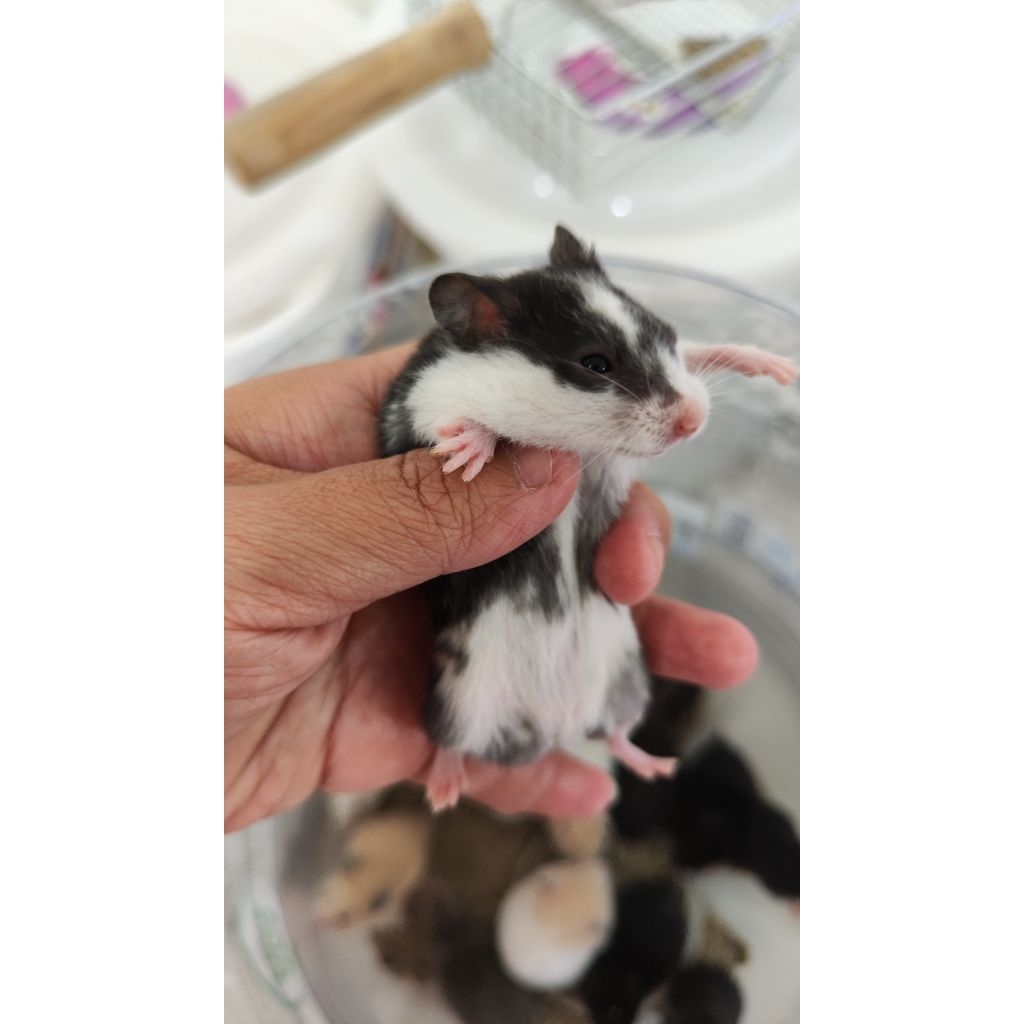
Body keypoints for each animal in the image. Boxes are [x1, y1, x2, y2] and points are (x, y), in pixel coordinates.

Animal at [378, 225, 799, 810]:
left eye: (664, 330)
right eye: (596, 364)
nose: (695, 421)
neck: (576, 442)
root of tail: (562, 726)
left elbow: (700, 352)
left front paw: (778, 368)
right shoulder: (415, 406)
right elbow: (457, 424)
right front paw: (466, 454)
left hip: (626, 684)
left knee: (617, 734)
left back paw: (656, 768)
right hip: (457, 700)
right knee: (451, 744)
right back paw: (443, 792)